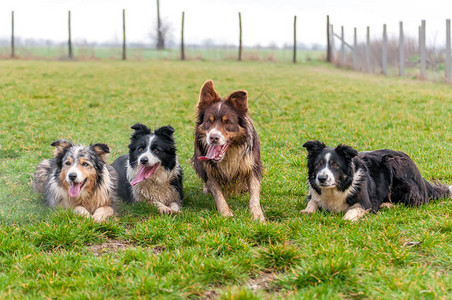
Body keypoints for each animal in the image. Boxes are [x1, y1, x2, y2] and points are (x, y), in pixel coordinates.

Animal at [192, 81, 264, 221]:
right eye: (209, 121)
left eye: (228, 122)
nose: (213, 137)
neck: (229, 153)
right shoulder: (209, 169)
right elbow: (218, 194)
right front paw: (226, 213)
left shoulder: (252, 164)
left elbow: (254, 193)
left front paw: (257, 215)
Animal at [300, 140, 452, 220]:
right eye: (318, 165)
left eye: (335, 165)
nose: (321, 178)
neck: (335, 189)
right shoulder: (314, 194)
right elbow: (312, 202)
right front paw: (306, 211)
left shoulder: (366, 203)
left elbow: (351, 213)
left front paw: (346, 219)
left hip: (393, 162)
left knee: (414, 200)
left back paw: (387, 204)